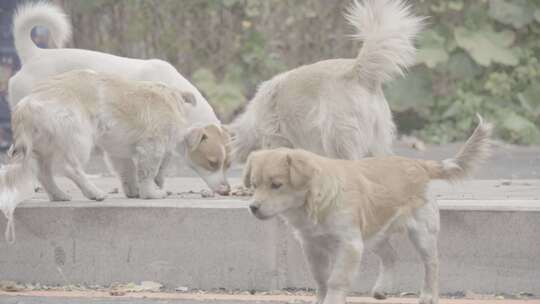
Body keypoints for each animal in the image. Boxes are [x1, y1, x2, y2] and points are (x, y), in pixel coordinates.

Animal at [1, 69, 212, 242]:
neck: (171, 99)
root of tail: (27, 104)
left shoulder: (120, 152)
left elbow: (128, 170)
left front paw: (135, 190)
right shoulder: (152, 145)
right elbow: (147, 171)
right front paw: (152, 193)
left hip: (45, 145)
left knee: (44, 172)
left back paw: (59, 195)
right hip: (78, 136)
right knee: (70, 167)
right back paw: (94, 192)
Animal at [245, 116, 494, 304]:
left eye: (276, 185)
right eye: (254, 185)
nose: (253, 207)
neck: (314, 205)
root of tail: (418, 164)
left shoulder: (350, 245)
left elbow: (336, 280)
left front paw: (332, 300)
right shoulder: (312, 246)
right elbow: (321, 279)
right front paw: (320, 299)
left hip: (422, 233)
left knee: (431, 263)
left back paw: (427, 296)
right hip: (375, 234)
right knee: (391, 256)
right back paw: (382, 289)